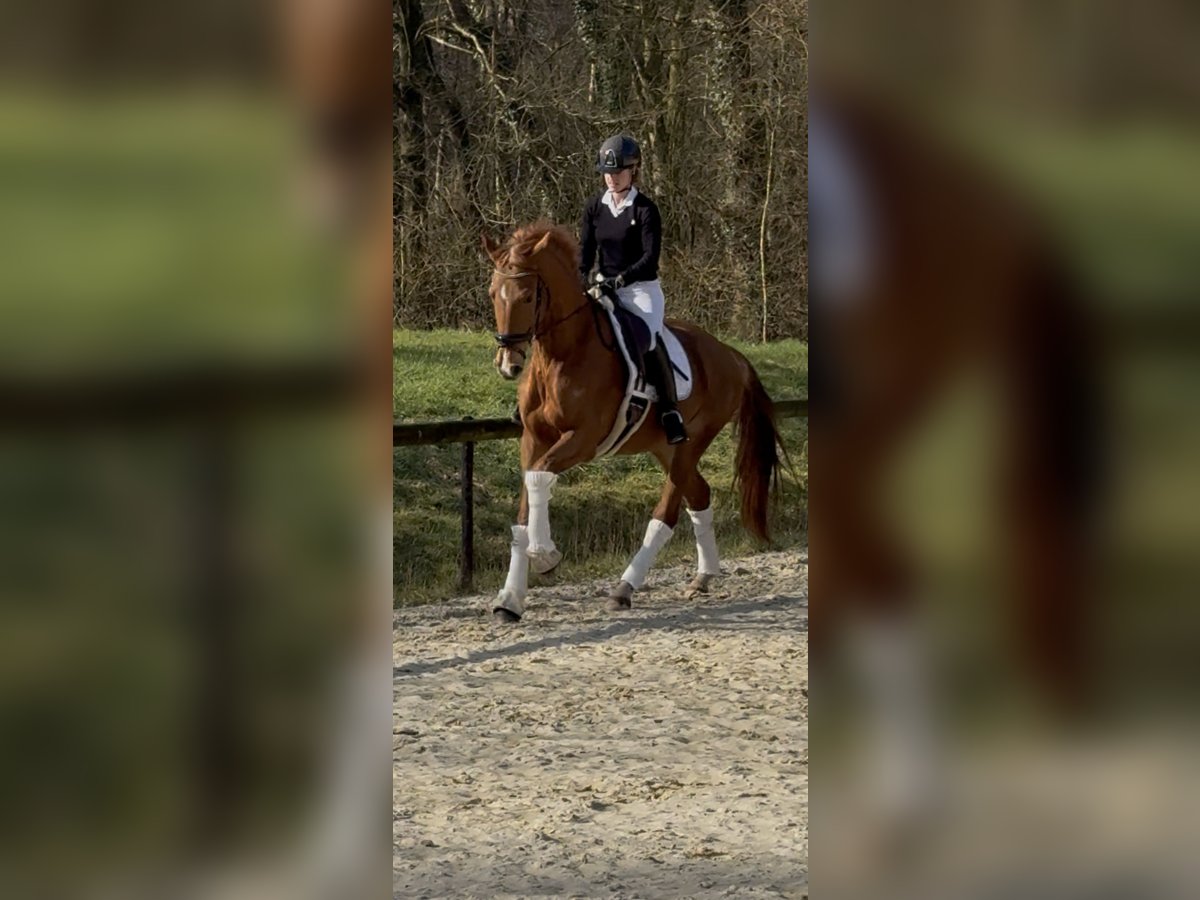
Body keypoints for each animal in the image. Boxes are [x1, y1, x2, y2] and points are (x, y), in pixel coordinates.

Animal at [480, 222, 789, 622]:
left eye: (529, 296)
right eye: (493, 295)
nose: (509, 364)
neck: (563, 354)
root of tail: (730, 354)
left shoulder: (583, 439)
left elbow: (539, 477)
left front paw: (546, 556)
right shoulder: (533, 438)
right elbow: (524, 507)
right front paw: (510, 600)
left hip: (691, 443)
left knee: (666, 513)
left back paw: (624, 588)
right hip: (665, 448)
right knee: (699, 495)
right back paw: (703, 577)